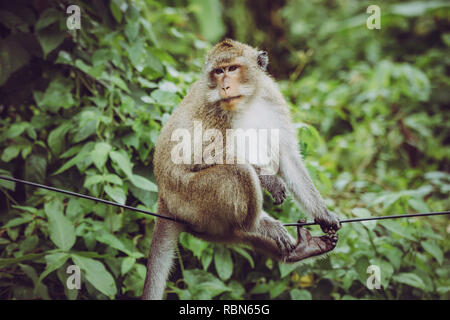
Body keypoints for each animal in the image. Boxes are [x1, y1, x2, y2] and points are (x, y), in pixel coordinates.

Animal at [142, 39, 340, 300]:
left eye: (233, 68)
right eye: (218, 71)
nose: (225, 86)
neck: (247, 101)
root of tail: (164, 198)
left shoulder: (271, 98)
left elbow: (287, 156)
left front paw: (324, 214)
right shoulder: (212, 112)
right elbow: (196, 158)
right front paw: (270, 181)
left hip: (203, 222)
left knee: (231, 231)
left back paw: (300, 250)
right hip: (190, 198)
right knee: (239, 171)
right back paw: (259, 225)